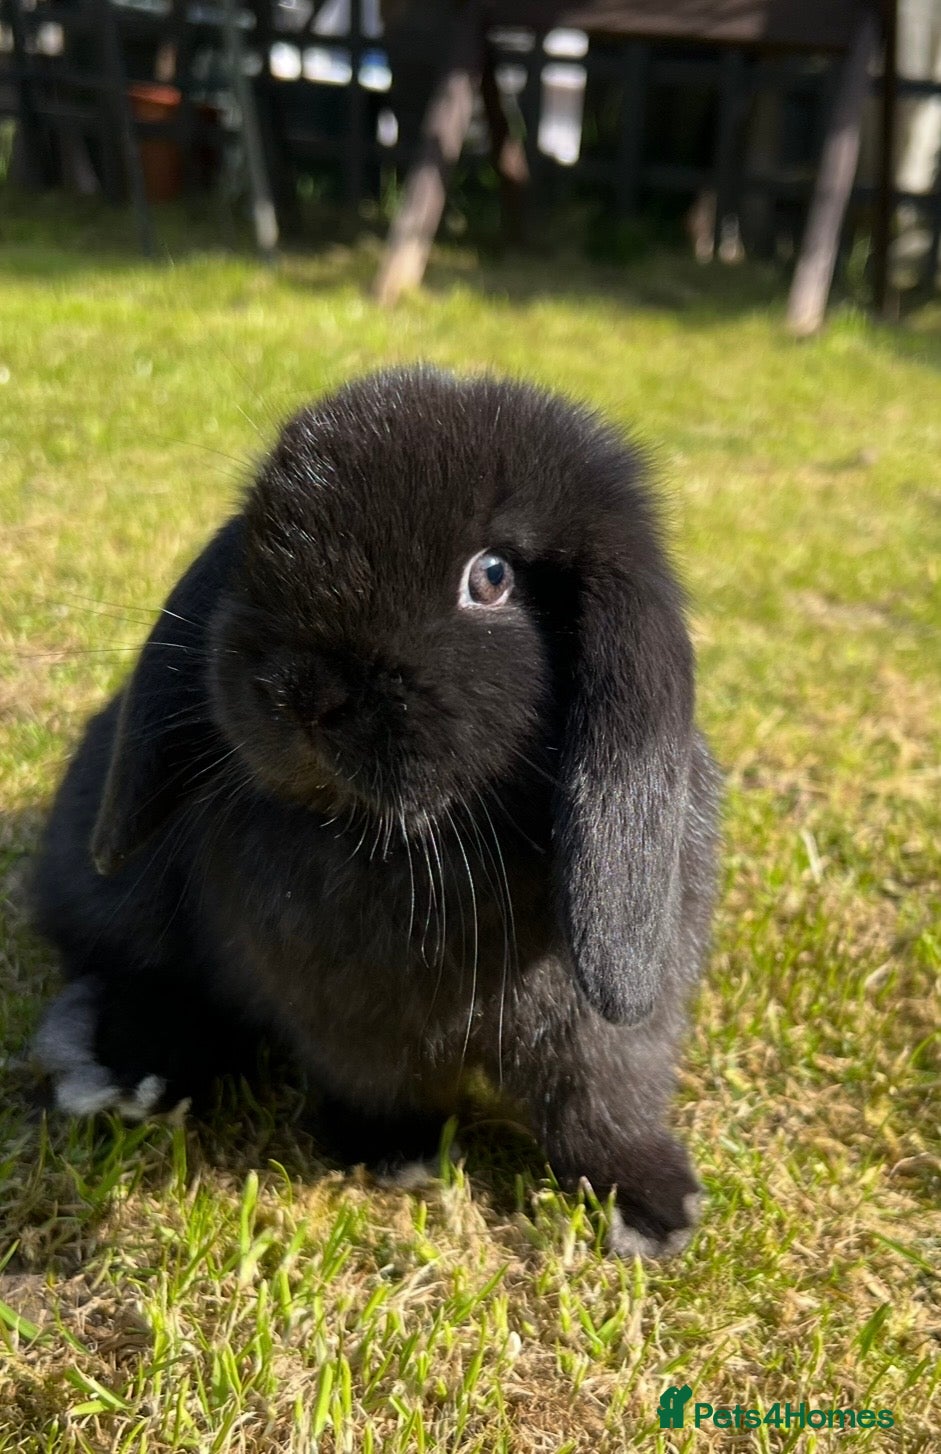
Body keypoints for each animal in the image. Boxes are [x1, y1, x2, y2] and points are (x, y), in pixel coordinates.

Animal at [30, 366, 721, 1258]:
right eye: (260, 546)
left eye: (491, 576)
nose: (303, 692)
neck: (423, 841)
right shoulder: (342, 1017)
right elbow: (379, 1081)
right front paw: (394, 1154)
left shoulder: (606, 1029)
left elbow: (601, 1103)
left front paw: (656, 1208)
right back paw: (128, 1071)